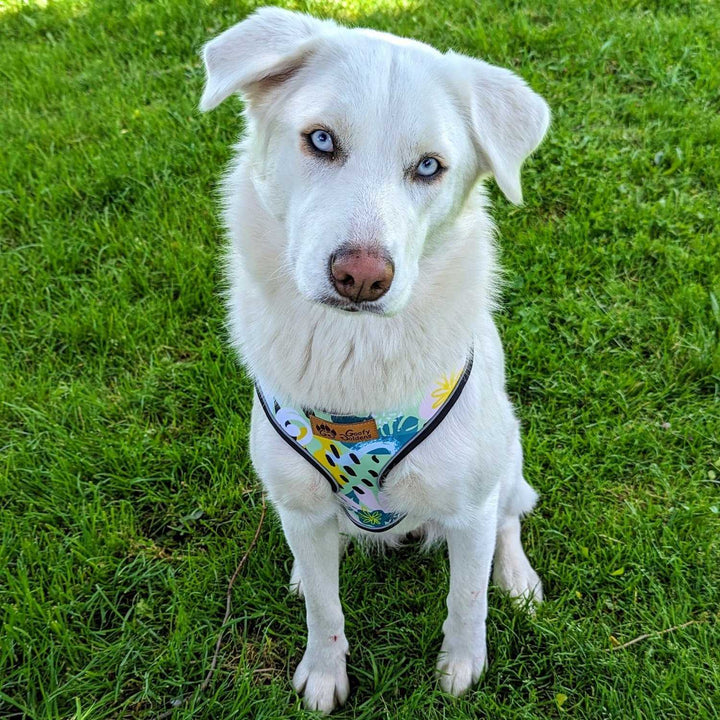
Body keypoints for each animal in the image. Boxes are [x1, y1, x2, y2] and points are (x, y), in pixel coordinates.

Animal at [200, 7, 548, 716]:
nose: (361, 277)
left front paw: (462, 669)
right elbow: (325, 609)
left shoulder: (469, 510)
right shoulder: (301, 505)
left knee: (511, 517)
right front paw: (324, 673)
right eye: (321, 140)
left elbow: (467, 598)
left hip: (508, 454)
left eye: (429, 166)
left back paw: (518, 579)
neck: (352, 361)